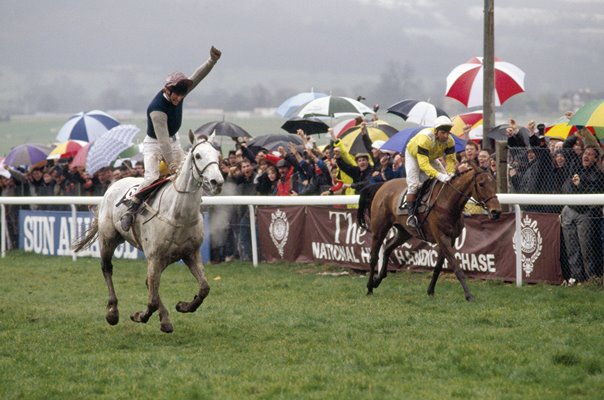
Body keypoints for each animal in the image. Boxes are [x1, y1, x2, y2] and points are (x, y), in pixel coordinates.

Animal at [72, 131, 224, 332]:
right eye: (198, 156)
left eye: (218, 155)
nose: (217, 182)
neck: (178, 214)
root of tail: (113, 184)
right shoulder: (154, 257)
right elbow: (151, 300)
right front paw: (139, 316)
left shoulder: (190, 253)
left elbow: (204, 287)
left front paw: (183, 306)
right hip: (108, 239)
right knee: (107, 268)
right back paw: (112, 312)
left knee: (150, 283)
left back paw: (165, 319)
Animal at [358, 162, 500, 300]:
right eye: (481, 184)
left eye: (495, 183)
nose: (496, 212)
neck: (447, 202)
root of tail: (383, 185)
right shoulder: (442, 238)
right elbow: (456, 267)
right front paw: (469, 295)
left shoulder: (451, 239)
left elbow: (438, 267)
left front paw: (430, 291)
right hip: (379, 228)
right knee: (374, 257)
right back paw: (370, 287)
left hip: (405, 232)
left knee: (387, 248)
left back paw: (378, 280)